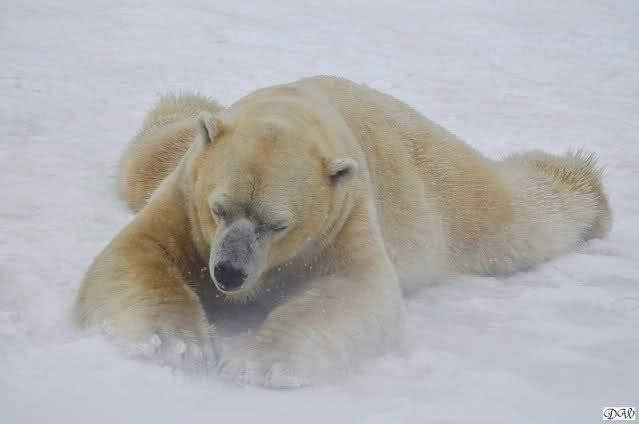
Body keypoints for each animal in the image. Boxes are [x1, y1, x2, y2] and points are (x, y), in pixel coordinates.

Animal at [73, 76, 611, 388]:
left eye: (277, 224)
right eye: (218, 209)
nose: (227, 274)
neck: (292, 109)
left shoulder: (344, 215)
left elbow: (355, 291)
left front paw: (256, 364)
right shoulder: (186, 198)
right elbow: (139, 251)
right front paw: (177, 345)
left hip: (434, 183)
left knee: (513, 217)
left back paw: (591, 192)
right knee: (147, 153)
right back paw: (190, 103)